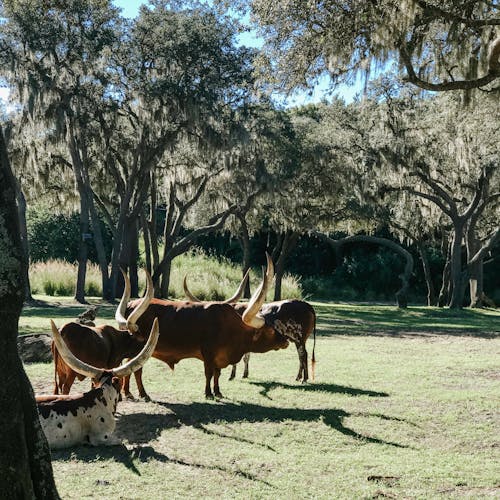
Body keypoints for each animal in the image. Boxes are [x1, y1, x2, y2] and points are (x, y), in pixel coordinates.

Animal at [118, 254, 292, 398]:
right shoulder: (208, 354)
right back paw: (142, 393)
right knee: (137, 370)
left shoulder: (219, 357)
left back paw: (127, 393)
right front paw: (208, 393)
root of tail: (132, 304)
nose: (286, 341)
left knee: (131, 367)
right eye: (270, 330)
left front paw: (218, 391)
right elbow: (209, 373)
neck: (230, 327)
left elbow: (217, 374)